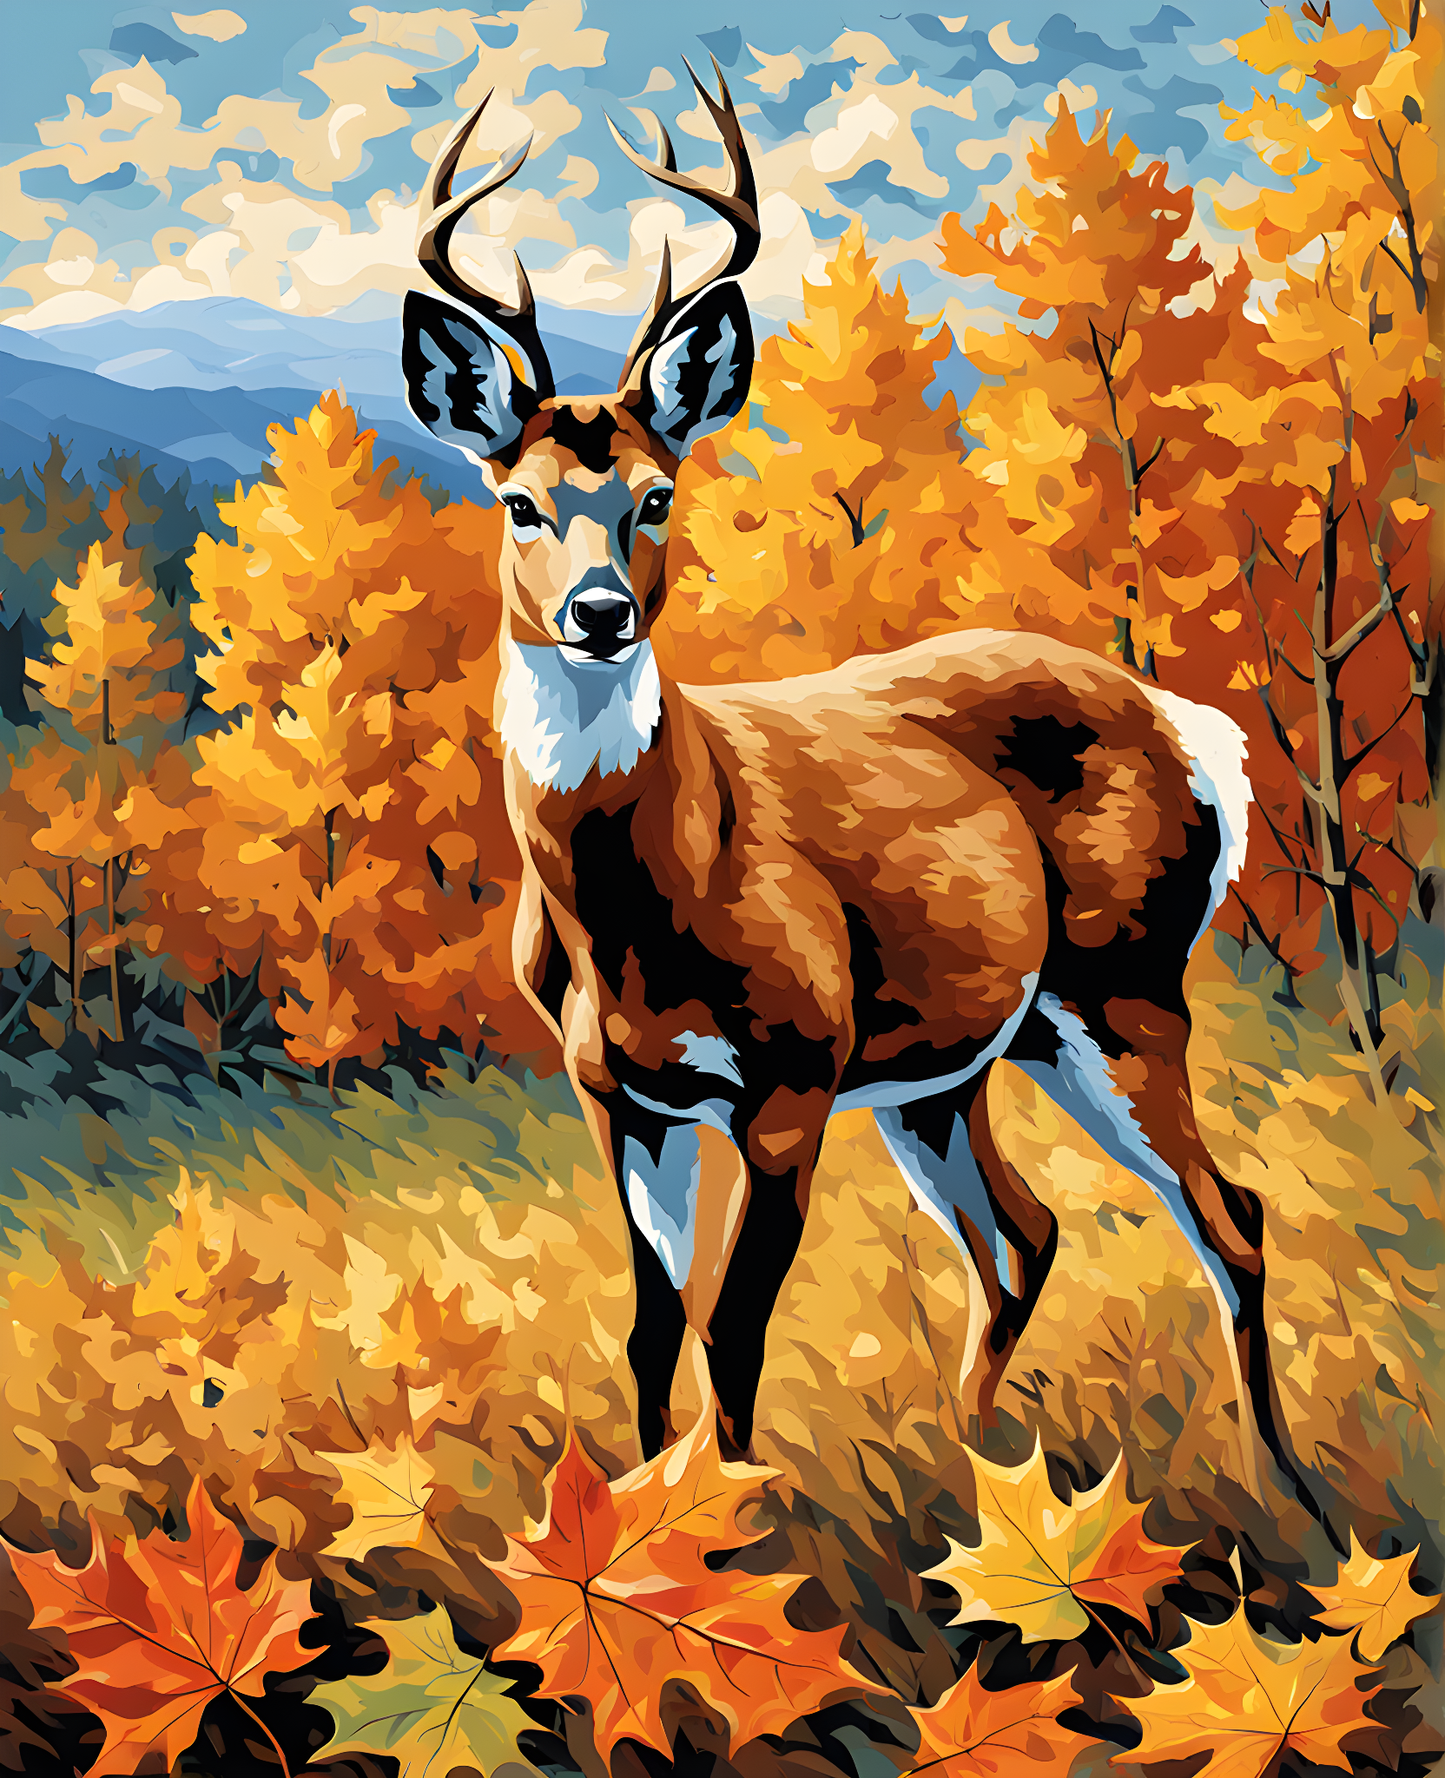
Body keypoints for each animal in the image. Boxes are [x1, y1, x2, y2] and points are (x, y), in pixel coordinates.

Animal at [401, 65, 1331, 1537]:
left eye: (656, 494)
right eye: (517, 503)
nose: (600, 612)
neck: (641, 907)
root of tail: (1194, 733)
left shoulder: (791, 1067)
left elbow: (729, 1328)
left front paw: (731, 1537)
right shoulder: (617, 1090)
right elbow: (650, 1328)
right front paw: (638, 1529)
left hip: (1121, 984)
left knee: (1225, 1213)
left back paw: (1280, 1492)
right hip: (962, 1058)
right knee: (1026, 1233)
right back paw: (979, 1467)